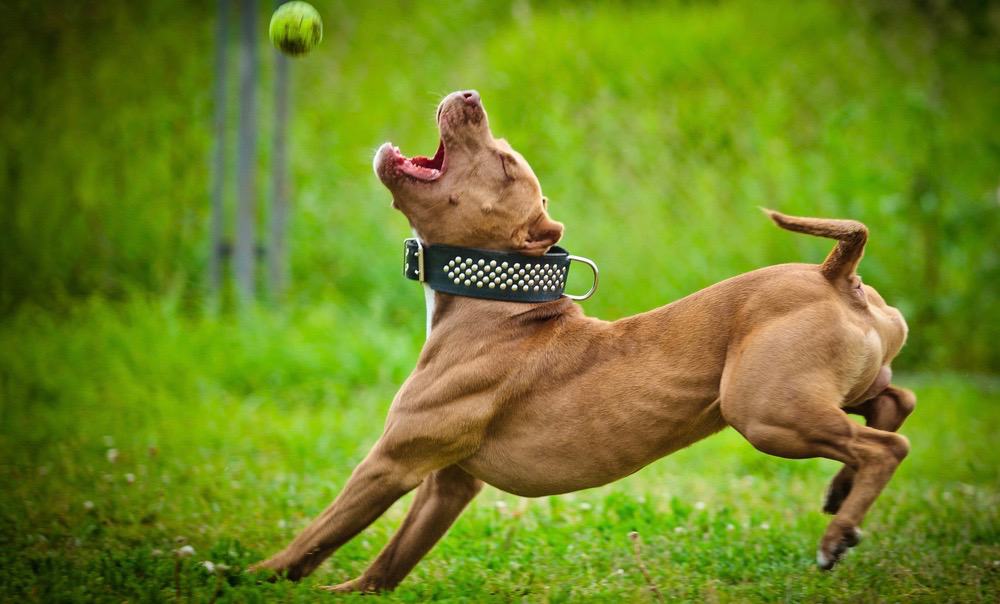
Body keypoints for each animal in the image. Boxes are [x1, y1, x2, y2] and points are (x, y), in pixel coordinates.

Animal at [252, 92, 916, 592]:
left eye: (505, 165)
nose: (469, 96)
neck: (496, 305)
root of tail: (835, 274)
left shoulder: (392, 461)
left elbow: (320, 533)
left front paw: (254, 576)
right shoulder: (449, 482)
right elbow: (390, 561)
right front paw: (349, 593)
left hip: (765, 411)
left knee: (887, 446)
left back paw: (837, 534)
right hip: (824, 390)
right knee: (894, 406)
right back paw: (841, 494)